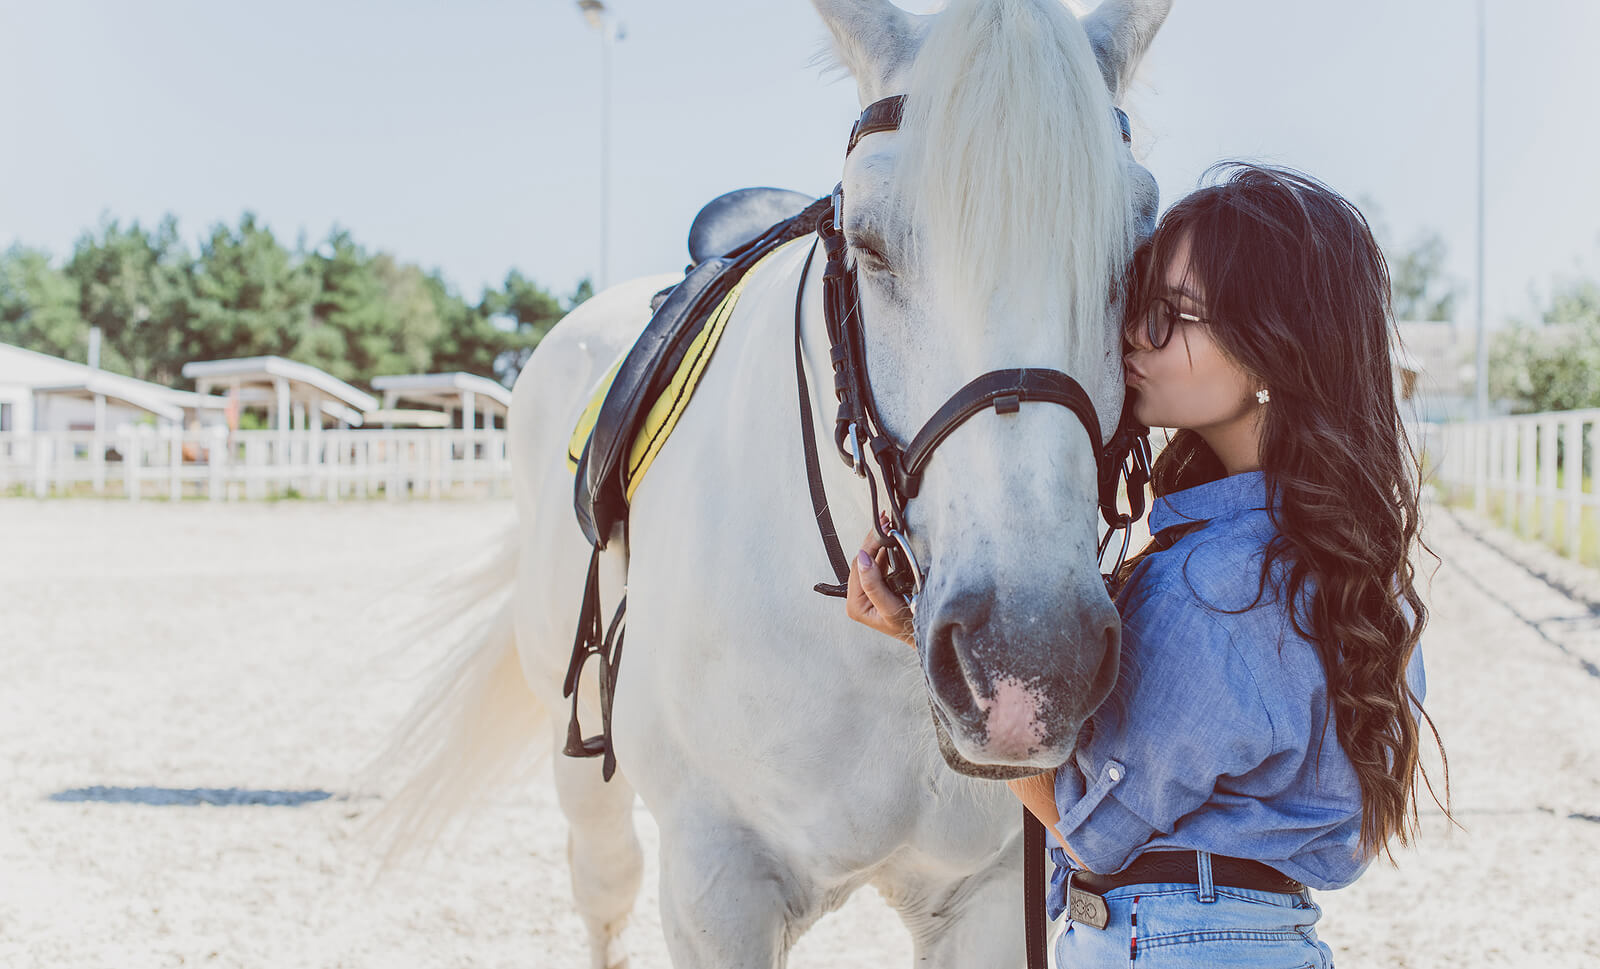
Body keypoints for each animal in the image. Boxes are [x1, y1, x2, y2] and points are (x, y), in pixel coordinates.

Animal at [387, 0, 1164, 965]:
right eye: (867, 242)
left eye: (1139, 252)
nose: (1030, 660)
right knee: (603, 878)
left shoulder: (987, 894)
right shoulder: (715, 888)